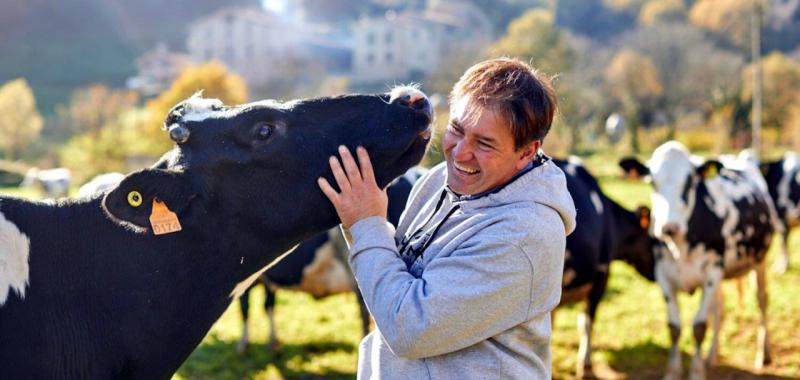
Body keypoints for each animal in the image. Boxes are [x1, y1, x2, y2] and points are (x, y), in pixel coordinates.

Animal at [620, 142, 776, 380]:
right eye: (653, 182)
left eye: (690, 182)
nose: (669, 227)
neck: (680, 247)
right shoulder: (664, 274)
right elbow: (674, 327)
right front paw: (673, 372)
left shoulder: (712, 272)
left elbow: (699, 326)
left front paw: (695, 372)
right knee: (719, 308)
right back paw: (711, 357)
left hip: (759, 261)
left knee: (762, 301)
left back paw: (763, 354)